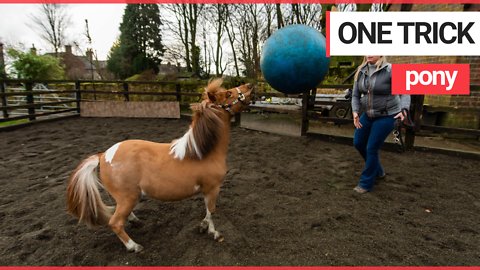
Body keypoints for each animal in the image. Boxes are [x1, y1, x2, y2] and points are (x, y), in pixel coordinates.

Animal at [68, 78, 255, 253]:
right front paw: (213, 233)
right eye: (229, 93)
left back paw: (135, 221)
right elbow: (211, 211)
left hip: (124, 198)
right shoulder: (212, 188)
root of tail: (103, 156)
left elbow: (207, 212)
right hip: (128, 197)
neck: (203, 152)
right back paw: (134, 246)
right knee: (115, 222)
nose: (250, 85)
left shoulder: (206, 190)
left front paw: (203, 226)